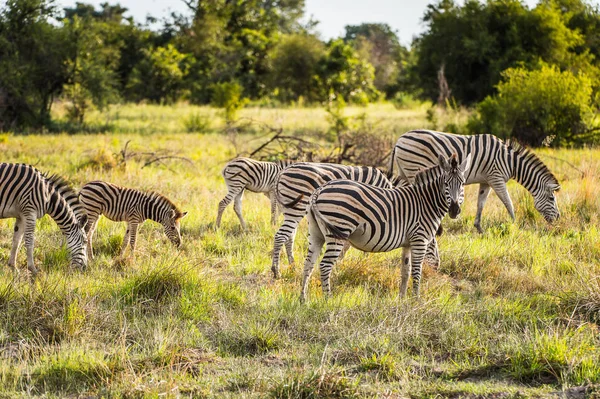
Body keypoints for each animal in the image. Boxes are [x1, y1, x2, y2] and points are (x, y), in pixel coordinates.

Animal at [302, 155, 472, 302]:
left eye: (462, 184)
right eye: (446, 183)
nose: (454, 210)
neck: (426, 202)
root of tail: (319, 190)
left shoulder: (408, 243)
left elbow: (405, 272)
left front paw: (402, 300)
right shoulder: (419, 239)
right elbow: (417, 272)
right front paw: (416, 300)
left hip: (316, 234)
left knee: (308, 264)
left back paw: (303, 300)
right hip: (338, 230)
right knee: (324, 266)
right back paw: (328, 299)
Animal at [392, 130, 560, 233]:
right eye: (552, 198)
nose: (558, 219)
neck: (511, 162)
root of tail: (400, 139)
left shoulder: (486, 181)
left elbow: (481, 204)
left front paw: (479, 229)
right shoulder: (496, 178)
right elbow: (508, 202)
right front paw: (514, 225)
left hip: (404, 172)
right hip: (414, 169)